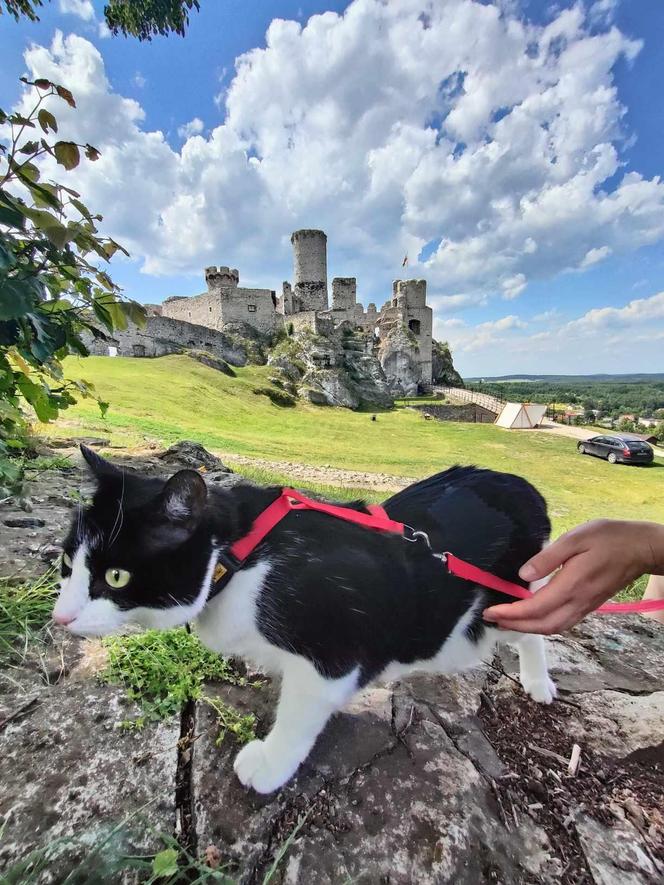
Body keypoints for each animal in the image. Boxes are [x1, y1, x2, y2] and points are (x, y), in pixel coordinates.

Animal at [54, 448, 556, 796]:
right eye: (67, 562)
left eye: (116, 576)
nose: (60, 616)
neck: (238, 558)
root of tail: (522, 486)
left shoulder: (336, 647)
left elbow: (302, 710)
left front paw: (269, 763)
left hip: (505, 597)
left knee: (531, 625)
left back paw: (538, 681)